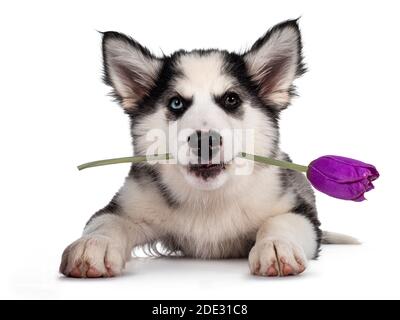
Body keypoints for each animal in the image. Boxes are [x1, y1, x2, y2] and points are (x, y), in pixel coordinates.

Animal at [58, 21, 354, 278]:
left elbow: (281, 221)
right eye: (176, 103)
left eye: (231, 99)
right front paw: (94, 245)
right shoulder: (127, 204)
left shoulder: (295, 207)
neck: (208, 202)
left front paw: (276, 246)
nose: (204, 140)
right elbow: (106, 222)